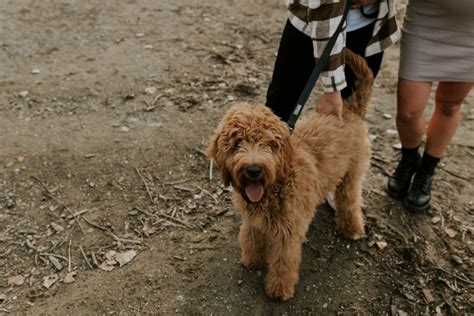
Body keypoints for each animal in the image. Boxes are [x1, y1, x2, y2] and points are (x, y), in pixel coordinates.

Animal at [207, 48, 374, 300]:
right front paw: (252, 260)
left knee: (350, 200)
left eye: (269, 144)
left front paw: (278, 290)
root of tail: (350, 110)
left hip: (352, 174)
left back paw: (352, 229)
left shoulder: (288, 232)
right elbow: (250, 238)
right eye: (237, 143)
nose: (254, 170)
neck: (277, 184)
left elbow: (283, 261)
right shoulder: (253, 221)